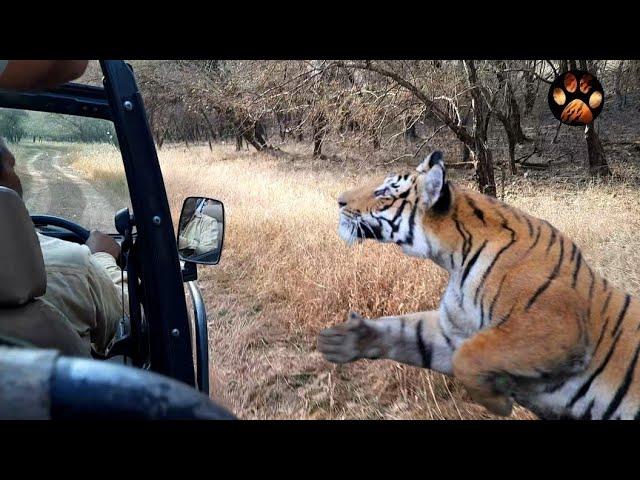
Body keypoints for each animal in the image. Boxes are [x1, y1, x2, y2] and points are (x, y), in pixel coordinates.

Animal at [318, 151, 640, 420]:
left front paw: (499, 402)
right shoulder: (453, 330)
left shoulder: (555, 328)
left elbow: (467, 358)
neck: (453, 259)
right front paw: (345, 338)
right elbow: (407, 332)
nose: (339, 201)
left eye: (383, 193)